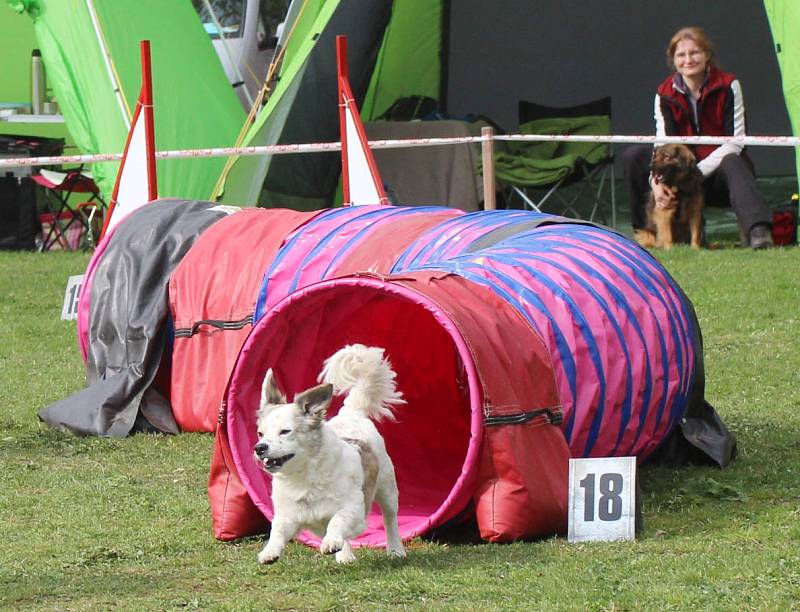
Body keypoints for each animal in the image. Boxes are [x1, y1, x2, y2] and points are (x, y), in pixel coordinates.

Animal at [255, 344, 406, 564]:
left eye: (285, 431)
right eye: (260, 433)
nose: (259, 447)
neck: (303, 476)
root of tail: (351, 413)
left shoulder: (355, 509)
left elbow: (338, 520)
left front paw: (331, 542)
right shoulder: (289, 515)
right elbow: (277, 529)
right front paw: (269, 551)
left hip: (387, 488)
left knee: (390, 518)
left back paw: (395, 550)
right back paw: (345, 555)